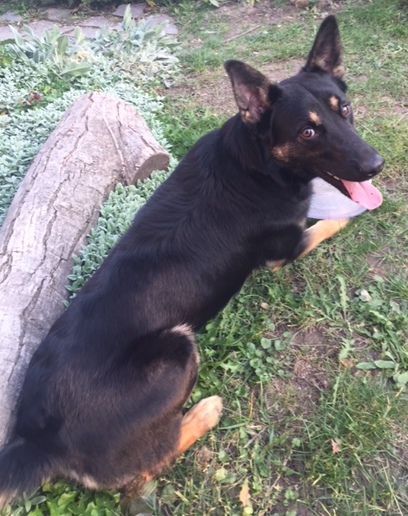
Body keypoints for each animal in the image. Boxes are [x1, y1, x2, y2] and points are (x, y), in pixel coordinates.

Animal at [0, 15, 383, 508]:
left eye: (345, 110)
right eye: (308, 132)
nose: (375, 165)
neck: (257, 161)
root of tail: (36, 442)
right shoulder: (288, 247)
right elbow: (327, 224)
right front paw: (354, 215)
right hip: (178, 347)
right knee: (146, 468)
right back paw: (205, 411)